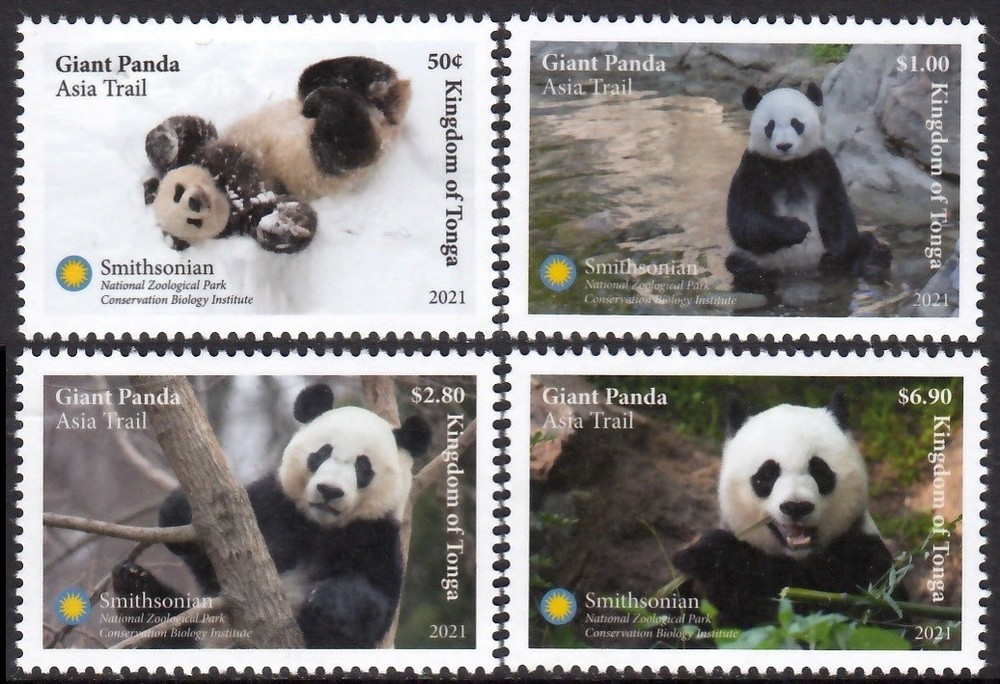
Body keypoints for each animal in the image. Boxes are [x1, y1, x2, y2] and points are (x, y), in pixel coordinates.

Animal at [111, 383, 431, 648]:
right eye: (321, 453)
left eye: (363, 467)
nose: (329, 490)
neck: (318, 526)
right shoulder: (272, 506)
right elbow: (210, 562)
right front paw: (182, 513)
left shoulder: (375, 536)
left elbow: (373, 610)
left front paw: (332, 603)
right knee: (164, 619)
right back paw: (134, 582)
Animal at [142, 57, 411, 253]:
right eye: (192, 222)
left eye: (177, 192)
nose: (195, 202)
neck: (221, 185)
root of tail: (384, 117)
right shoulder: (245, 210)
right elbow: (282, 217)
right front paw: (283, 224)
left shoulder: (201, 153)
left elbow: (191, 129)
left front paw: (164, 143)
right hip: (335, 154)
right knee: (349, 144)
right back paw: (333, 100)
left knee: (319, 76)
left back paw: (357, 84)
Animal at [725, 83, 891, 294]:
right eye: (770, 126)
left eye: (796, 123)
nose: (784, 145)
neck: (788, 165)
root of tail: (804, 271)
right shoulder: (753, 168)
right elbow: (743, 221)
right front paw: (798, 228)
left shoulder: (821, 165)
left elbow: (836, 209)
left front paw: (835, 253)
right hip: (757, 259)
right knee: (740, 265)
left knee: (862, 242)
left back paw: (873, 261)